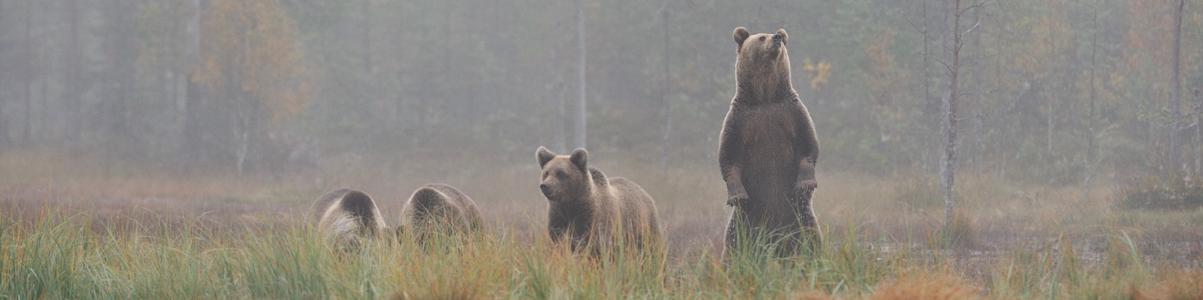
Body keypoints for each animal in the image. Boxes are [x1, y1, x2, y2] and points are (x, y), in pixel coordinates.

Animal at [716, 26, 822, 259]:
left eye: (779, 35)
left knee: (811, 242)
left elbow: (808, 145)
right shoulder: (740, 120)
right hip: (744, 224)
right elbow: (728, 157)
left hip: (801, 219)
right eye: (761, 37)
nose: (777, 38)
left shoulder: (791, 112)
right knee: (733, 246)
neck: (765, 97)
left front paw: (806, 183)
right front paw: (737, 196)